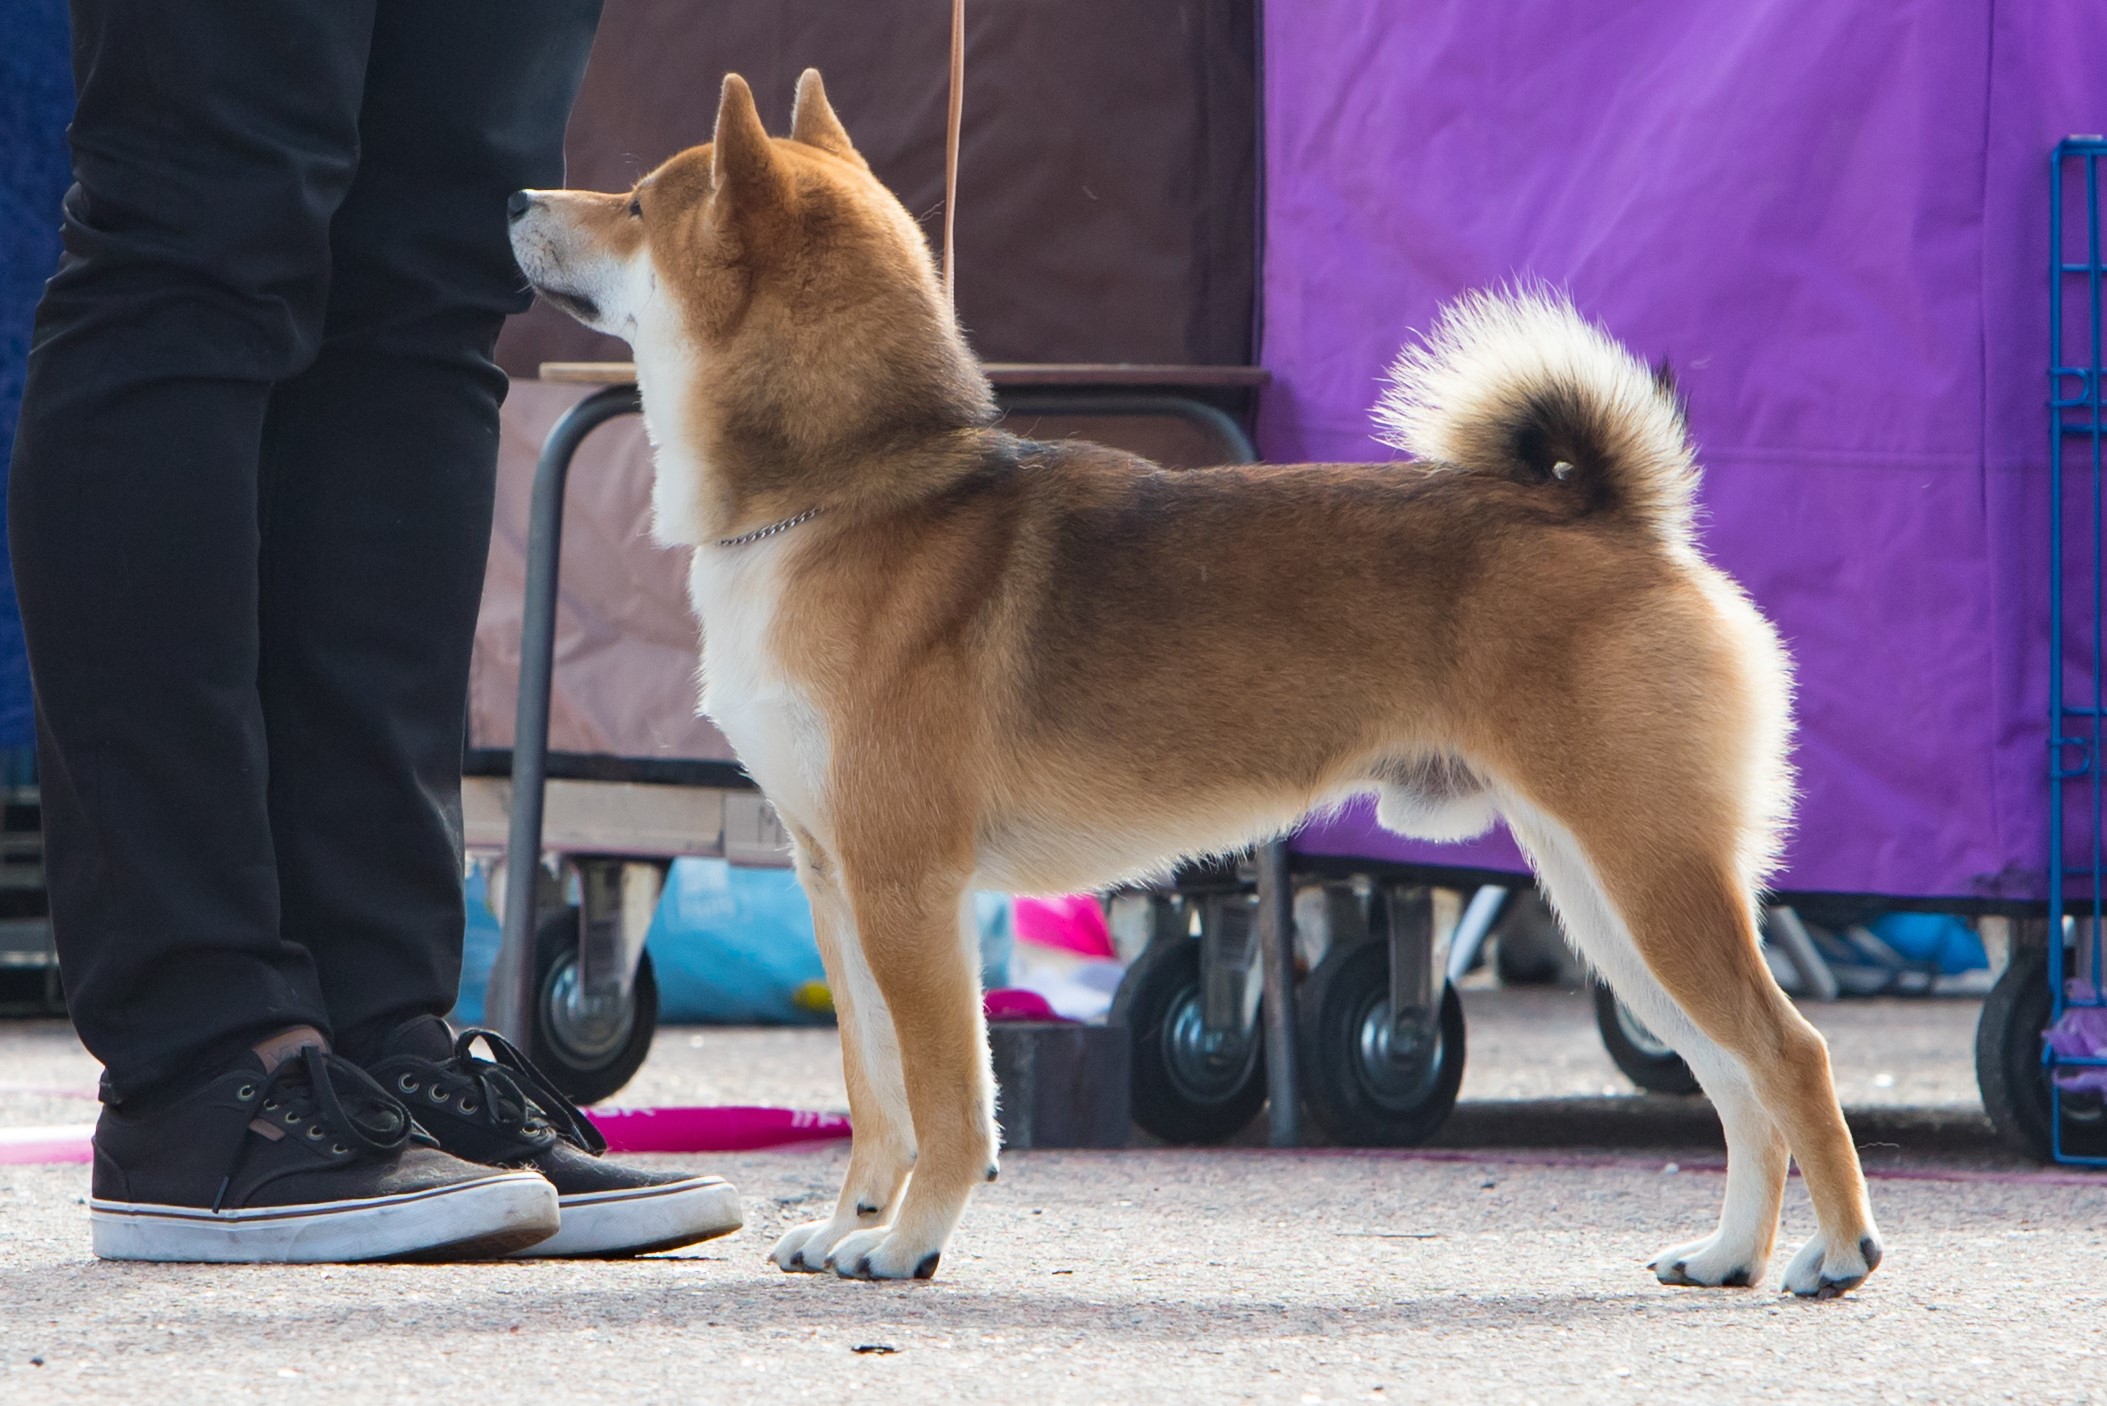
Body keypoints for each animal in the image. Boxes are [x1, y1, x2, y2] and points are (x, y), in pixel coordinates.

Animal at [505, 71, 1879, 1290]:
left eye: (636, 203)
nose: (519, 193)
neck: (846, 494)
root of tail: (1616, 521)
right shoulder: (837, 881)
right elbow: (877, 1092)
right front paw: (850, 1221)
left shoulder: (905, 884)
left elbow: (946, 1102)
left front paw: (905, 1240)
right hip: (1606, 899)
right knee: (1732, 1080)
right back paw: (1728, 1252)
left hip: (1648, 880)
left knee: (1792, 1055)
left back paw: (1834, 1253)